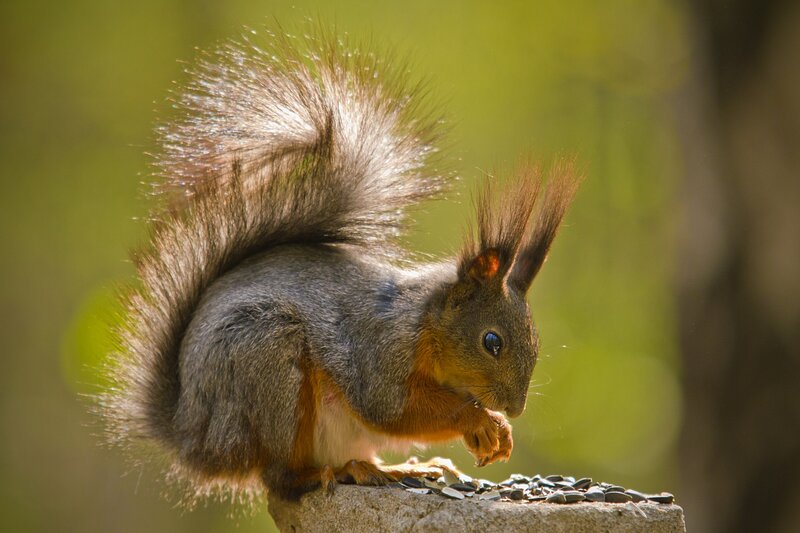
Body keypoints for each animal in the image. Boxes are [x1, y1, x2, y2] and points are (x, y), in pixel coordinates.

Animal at [99, 29, 579, 503]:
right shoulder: (378, 351)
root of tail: (194, 438)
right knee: (279, 478)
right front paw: (482, 421)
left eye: (535, 341)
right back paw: (325, 474)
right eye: (491, 341)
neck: (425, 322)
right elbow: (391, 408)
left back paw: (393, 467)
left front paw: (498, 430)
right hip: (269, 365)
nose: (515, 407)